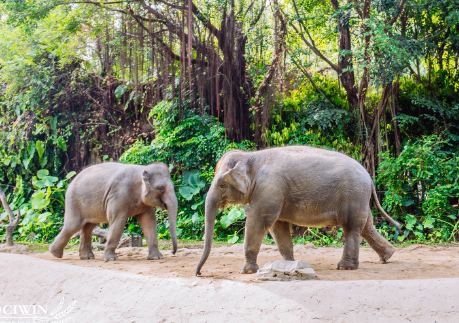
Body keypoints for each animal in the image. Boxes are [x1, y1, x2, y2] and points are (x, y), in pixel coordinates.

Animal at [50, 163, 178, 262]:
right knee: (73, 226)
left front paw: (156, 258)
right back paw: (55, 254)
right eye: (161, 188)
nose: (173, 252)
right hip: (74, 201)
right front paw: (110, 259)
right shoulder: (119, 195)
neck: (142, 169)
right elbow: (118, 221)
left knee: (88, 226)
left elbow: (149, 221)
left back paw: (86, 257)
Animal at [196, 147, 400, 276]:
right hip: (359, 198)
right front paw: (289, 264)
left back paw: (345, 268)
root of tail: (369, 177)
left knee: (352, 227)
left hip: (353, 195)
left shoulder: (269, 190)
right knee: (366, 226)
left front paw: (246, 271)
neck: (250, 157)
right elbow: (278, 227)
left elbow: (259, 222)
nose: (199, 273)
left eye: (222, 185)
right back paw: (388, 256)